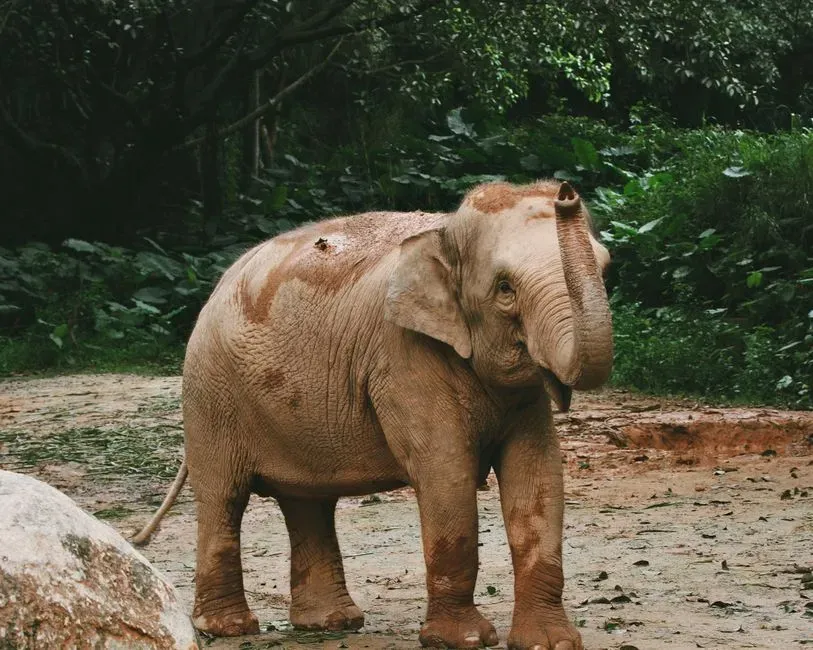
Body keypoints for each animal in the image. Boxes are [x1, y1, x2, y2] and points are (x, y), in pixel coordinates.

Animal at [133, 179, 613, 650]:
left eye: (606, 270)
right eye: (505, 289)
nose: (567, 193)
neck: (445, 231)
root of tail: (218, 286)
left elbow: (538, 476)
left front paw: (550, 643)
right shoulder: (402, 358)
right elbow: (446, 474)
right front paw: (464, 640)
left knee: (307, 502)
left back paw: (331, 623)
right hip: (210, 395)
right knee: (224, 497)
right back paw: (230, 628)